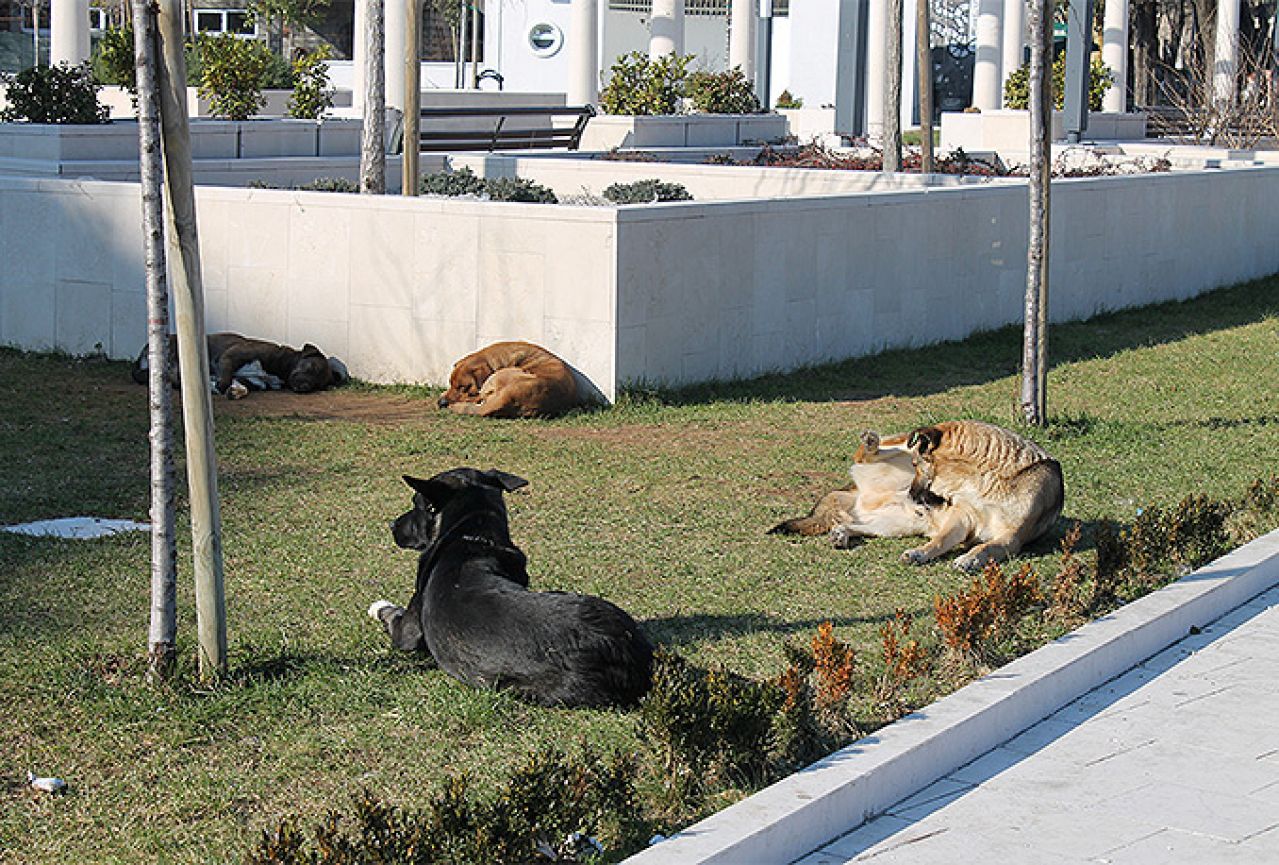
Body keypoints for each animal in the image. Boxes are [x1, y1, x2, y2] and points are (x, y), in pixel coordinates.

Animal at [368, 470, 649, 706]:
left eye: (417, 503)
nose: (391, 525)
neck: (474, 536)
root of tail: (621, 649)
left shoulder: (407, 633)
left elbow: (392, 615)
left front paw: (379, 607)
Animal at [772, 419, 1064, 570]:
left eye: (917, 466)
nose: (910, 497)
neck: (982, 480)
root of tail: (859, 492)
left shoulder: (1012, 537)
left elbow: (987, 545)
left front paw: (970, 557)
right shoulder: (961, 518)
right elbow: (940, 540)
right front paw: (920, 553)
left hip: (893, 525)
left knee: (857, 524)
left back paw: (842, 532)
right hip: (900, 448)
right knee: (870, 453)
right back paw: (870, 445)